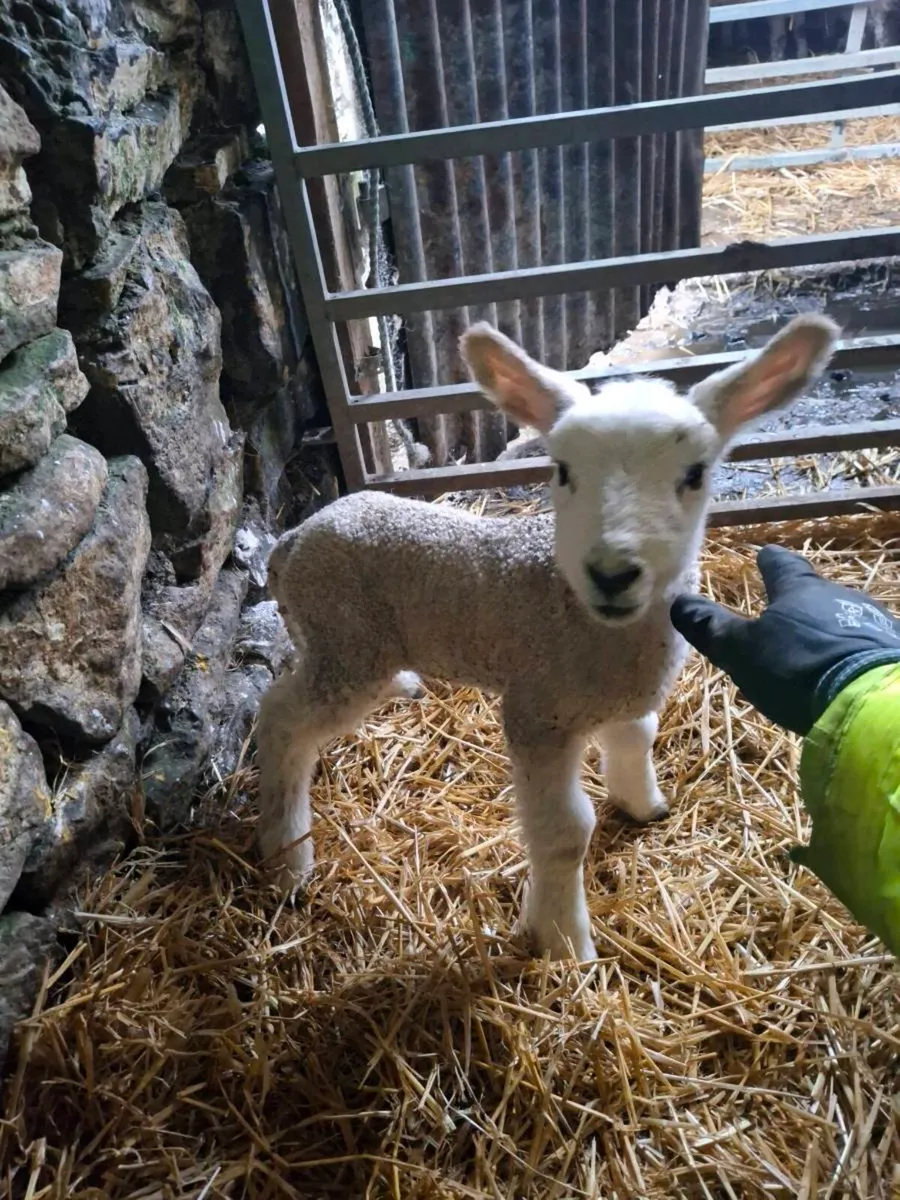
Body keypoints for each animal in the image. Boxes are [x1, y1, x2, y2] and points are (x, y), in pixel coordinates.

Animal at [257, 314, 839, 960]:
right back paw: (286, 858)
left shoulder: (625, 696)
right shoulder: (538, 712)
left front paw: (643, 806)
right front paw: (565, 944)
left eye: (696, 474)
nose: (612, 573)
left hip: (338, 637)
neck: (588, 621)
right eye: (562, 470)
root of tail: (295, 538)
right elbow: (565, 835)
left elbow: (637, 738)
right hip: (346, 640)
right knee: (281, 718)